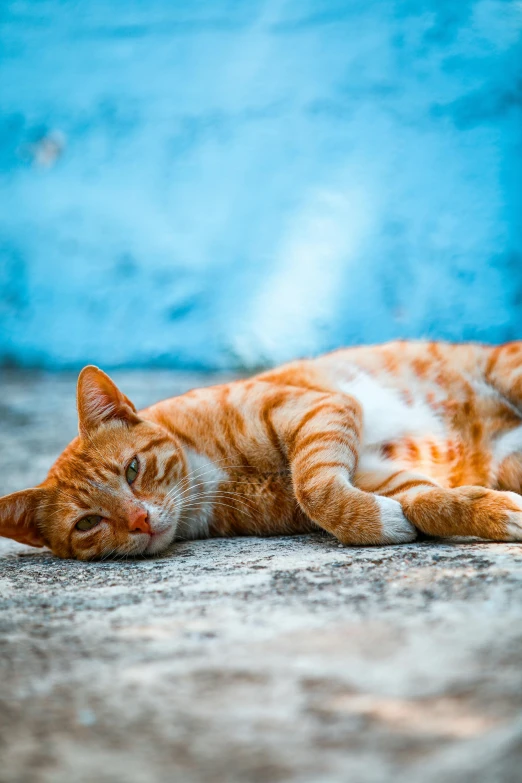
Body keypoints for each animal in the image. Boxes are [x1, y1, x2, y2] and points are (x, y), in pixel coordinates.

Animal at [1, 340, 520, 560]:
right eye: (87, 524)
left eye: (131, 469)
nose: (140, 521)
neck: (216, 476)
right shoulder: (383, 474)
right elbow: (430, 501)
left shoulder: (319, 407)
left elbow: (314, 488)